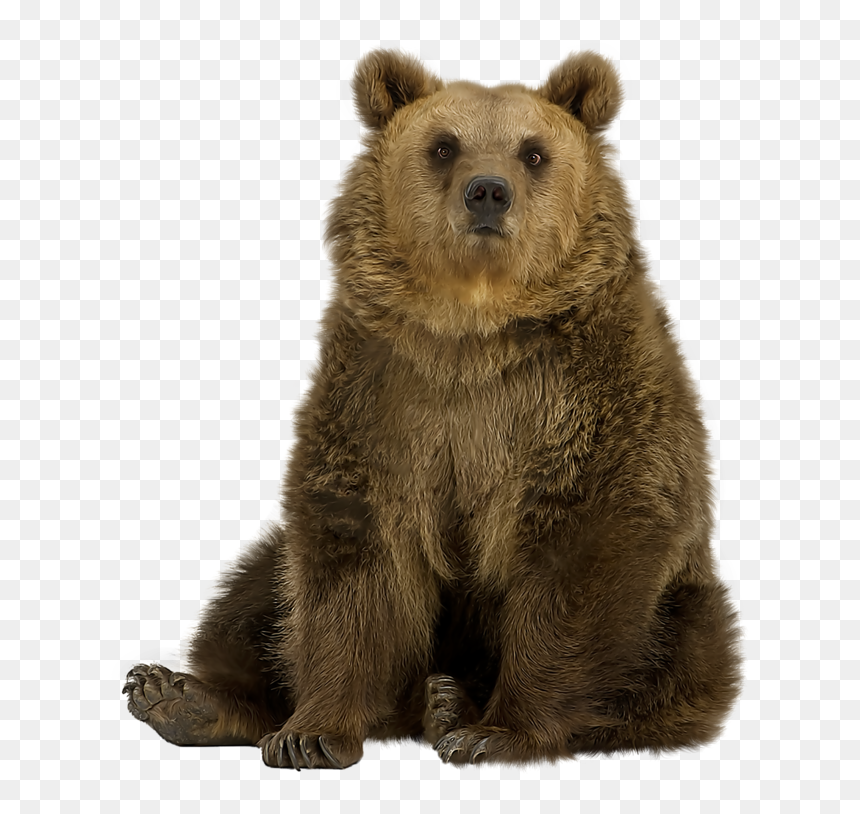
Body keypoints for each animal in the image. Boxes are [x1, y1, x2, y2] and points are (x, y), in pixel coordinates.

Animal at [123, 50, 743, 769]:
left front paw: (497, 731)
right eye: (443, 145)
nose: (488, 191)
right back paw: (180, 696)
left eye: (533, 152)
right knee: (256, 592)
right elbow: (352, 560)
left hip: (683, 602)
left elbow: (582, 549)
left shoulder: (587, 393)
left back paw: (453, 703)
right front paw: (310, 732)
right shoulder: (381, 396)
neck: (470, 331)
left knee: (680, 656)